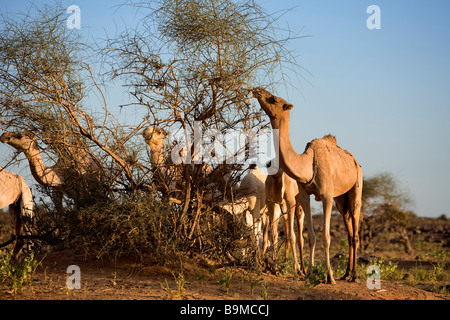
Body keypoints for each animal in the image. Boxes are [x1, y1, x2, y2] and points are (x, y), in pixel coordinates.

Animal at [253, 87, 362, 282]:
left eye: (273, 99)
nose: (257, 90)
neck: (308, 164)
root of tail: (354, 161)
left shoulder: (326, 196)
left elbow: (326, 236)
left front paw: (329, 276)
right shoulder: (304, 195)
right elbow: (311, 236)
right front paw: (309, 272)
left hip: (357, 187)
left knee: (355, 232)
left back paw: (354, 275)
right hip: (341, 199)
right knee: (349, 229)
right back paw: (347, 273)